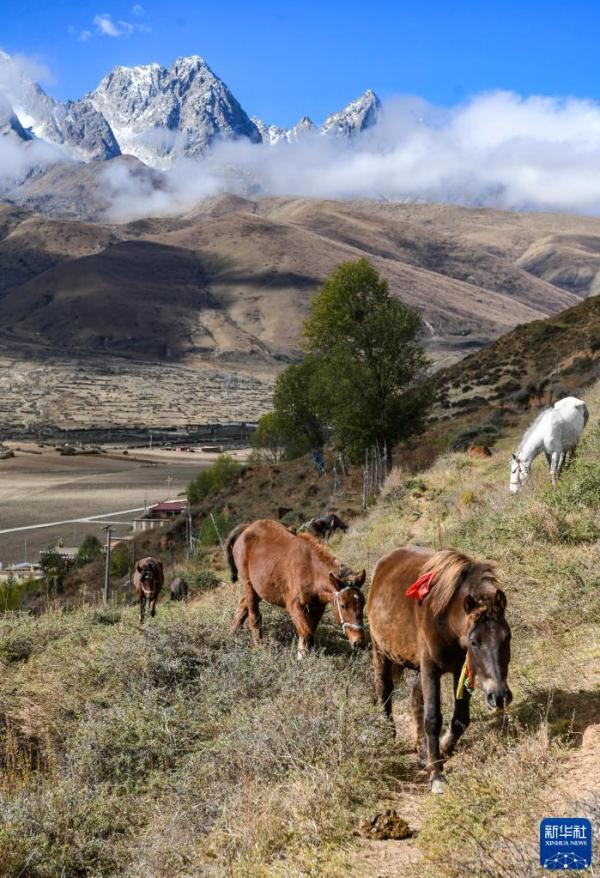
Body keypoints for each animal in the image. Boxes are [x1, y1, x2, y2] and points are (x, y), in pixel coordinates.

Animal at [225, 520, 366, 656]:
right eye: (343, 606)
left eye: (363, 604)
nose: (359, 642)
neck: (311, 571)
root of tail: (245, 528)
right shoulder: (295, 606)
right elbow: (306, 632)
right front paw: (301, 657)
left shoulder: (317, 608)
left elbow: (311, 633)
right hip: (248, 585)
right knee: (254, 617)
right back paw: (258, 647)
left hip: (259, 589)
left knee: (242, 607)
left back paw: (232, 636)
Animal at [368, 548, 512, 796]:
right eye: (474, 642)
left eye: (507, 637)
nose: (499, 696)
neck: (444, 619)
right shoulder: (431, 670)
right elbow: (433, 719)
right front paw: (436, 774)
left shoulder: (460, 669)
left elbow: (460, 719)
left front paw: (442, 748)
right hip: (382, 653)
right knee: (384, 692)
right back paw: (389, 734)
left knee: (415, 698)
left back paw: (422, 751)